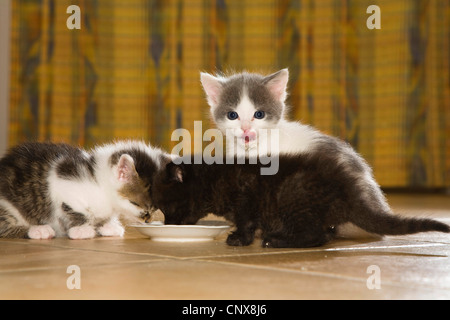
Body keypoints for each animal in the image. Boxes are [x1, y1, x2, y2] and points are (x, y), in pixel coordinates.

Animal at [0, 141, 167, 239]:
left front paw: (108, 226)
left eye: (154, 209)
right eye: (135, 204)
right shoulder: (63, 183)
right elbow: (77, 212)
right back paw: (38, 230)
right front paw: (81, 230)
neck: (99, 182)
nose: (147, 220)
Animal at [152, 152, 450, 248]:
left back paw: (277, 240)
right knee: (325, 234)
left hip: (291, 194)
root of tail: (350, 191)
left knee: (315, 236)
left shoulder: (246, 197)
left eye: (168, 208)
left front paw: (239, 239)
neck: (212, 175)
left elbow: (246, 220)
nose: (168, 225)